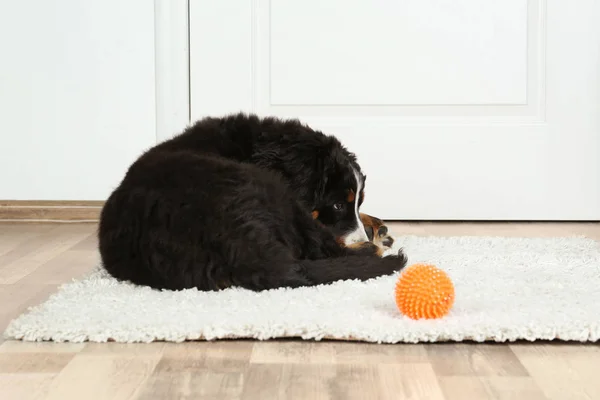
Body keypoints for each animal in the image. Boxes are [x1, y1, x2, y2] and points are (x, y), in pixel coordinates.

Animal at [98, 112, 408, 290]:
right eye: (337, 205)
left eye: (355, 202)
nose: (362, 237)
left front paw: (373, 222)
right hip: (274, 194)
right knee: (319, 245)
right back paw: (374, 248)